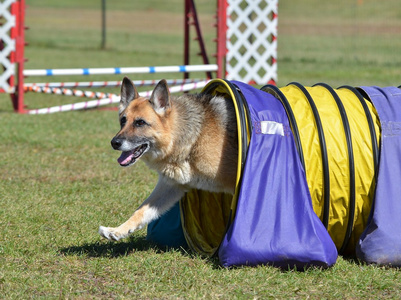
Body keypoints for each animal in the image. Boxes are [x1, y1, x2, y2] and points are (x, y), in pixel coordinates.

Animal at [99, 78, 238, 241]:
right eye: (123, 121)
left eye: (140, 123)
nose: (114, 143)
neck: (194, 139)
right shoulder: (171, 186)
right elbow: (141, 211)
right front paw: (118, 230)